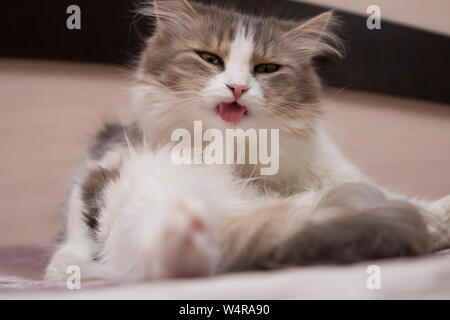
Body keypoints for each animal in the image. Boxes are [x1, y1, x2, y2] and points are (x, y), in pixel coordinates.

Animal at [44, 0, 448, 282]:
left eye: (266, 69)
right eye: (210, 59)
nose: (237, 87)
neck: (237, 153)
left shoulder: (338, 175)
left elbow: (404, 198)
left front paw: (438, 216)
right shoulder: (103, 164)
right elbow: (78, 230)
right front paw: (64, 265)